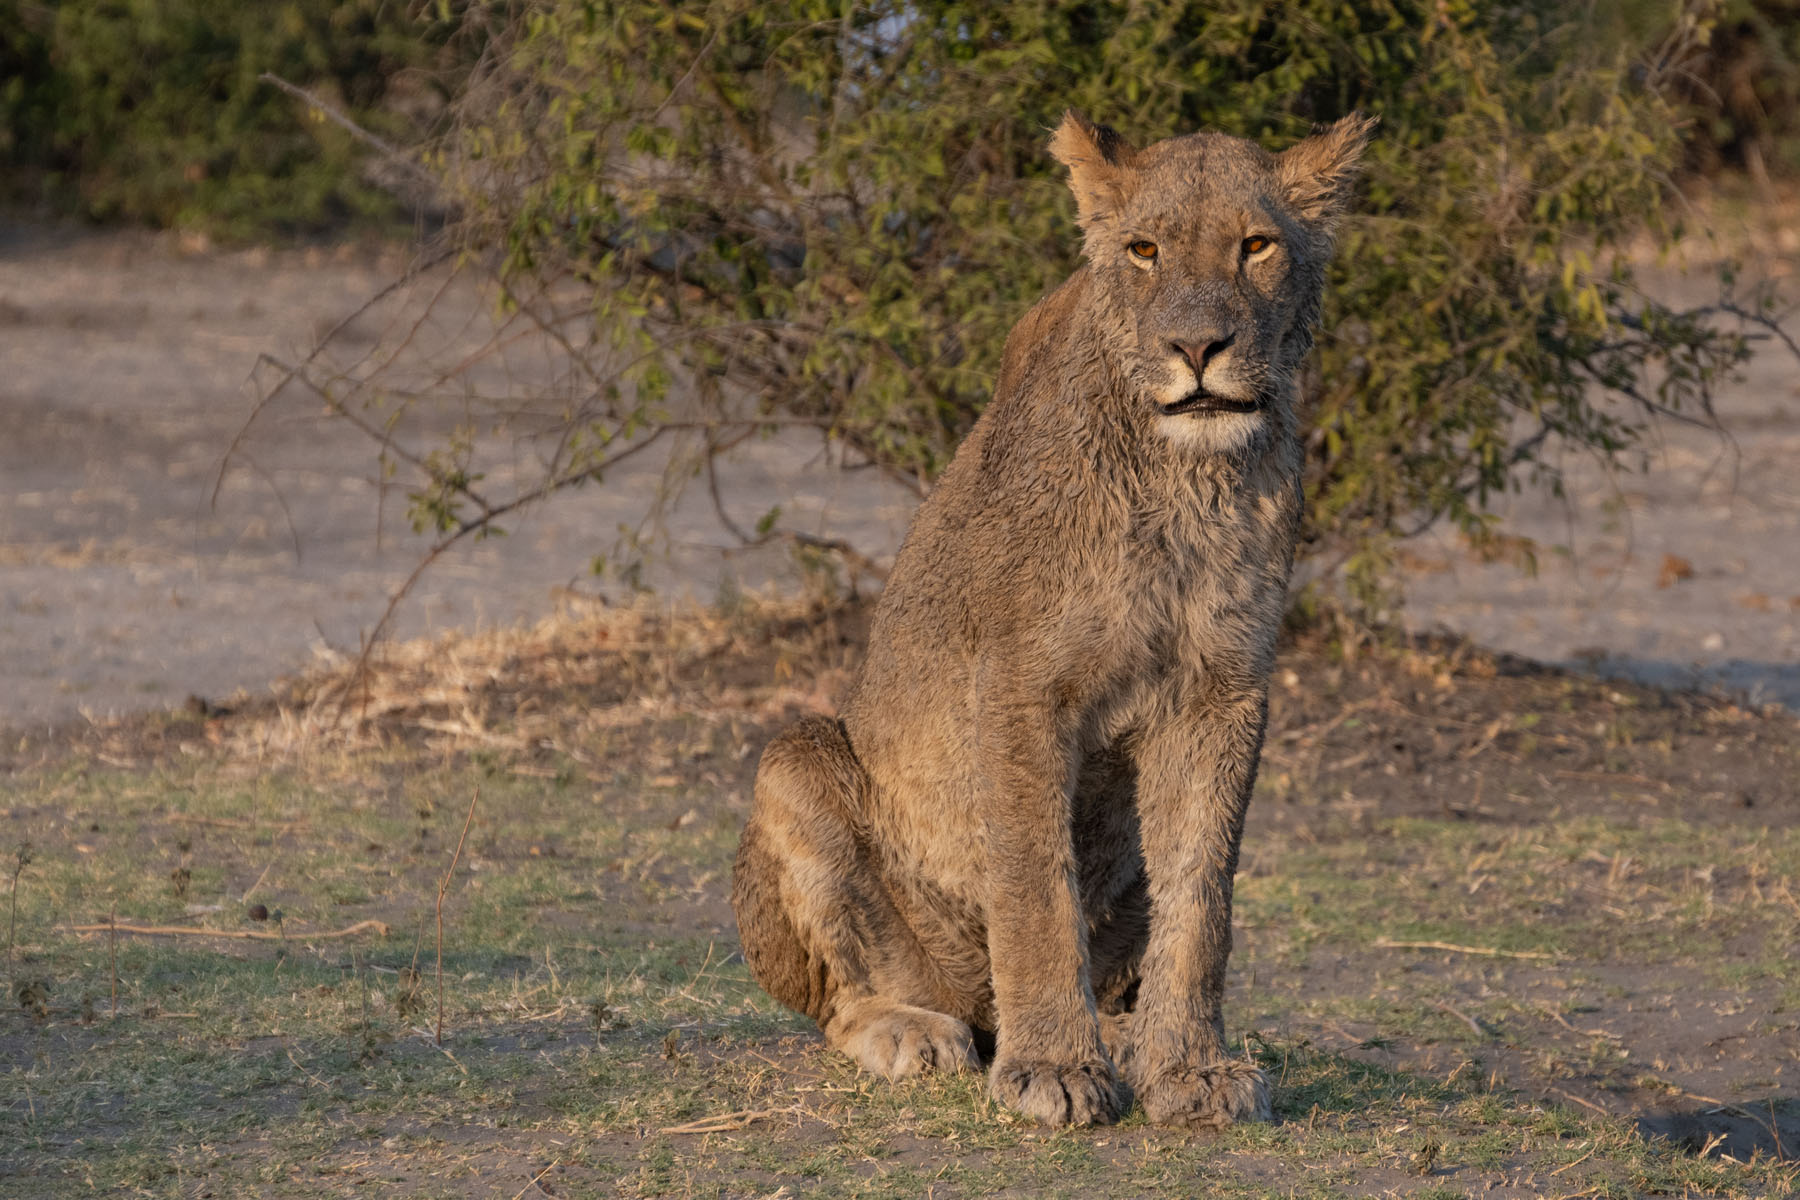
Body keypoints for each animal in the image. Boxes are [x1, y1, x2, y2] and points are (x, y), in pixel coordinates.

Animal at [731, 110, 1374, 1127]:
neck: (1185, 478)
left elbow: (1203, 899)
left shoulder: (1223, 691)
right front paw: (1055, 1070)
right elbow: (1035, 887)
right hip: (797, 758)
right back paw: (918, 1032)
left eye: (1256, 245)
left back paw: (1125, 1034)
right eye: (1145, 251)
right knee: (845, 999)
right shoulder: (1023, 685)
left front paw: (1190, 1071)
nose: (1198, 347)